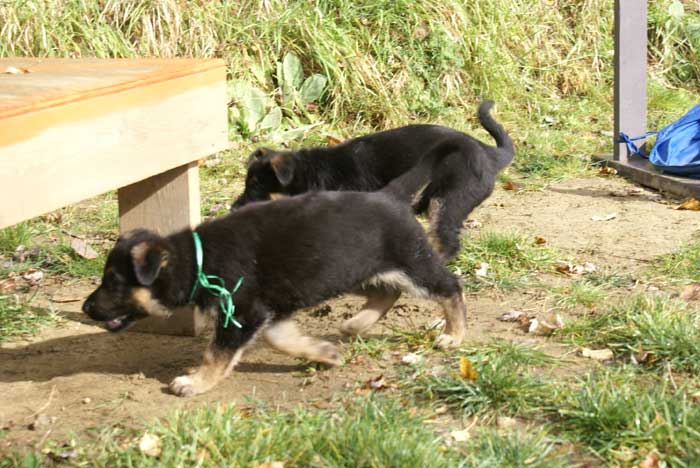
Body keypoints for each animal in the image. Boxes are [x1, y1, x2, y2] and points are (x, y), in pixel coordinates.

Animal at [83, 148, 470, 396]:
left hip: (411, 262)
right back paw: (356, 324)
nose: (86, 308)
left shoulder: (242, 313)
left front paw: (195, 382)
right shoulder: (266, 312)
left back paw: (454, 334)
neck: (195, 259)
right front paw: (323, 353)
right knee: (387, 291)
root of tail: (390, 196)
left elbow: (216, 353)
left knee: (450, 285)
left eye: (114, 282)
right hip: (349, 271)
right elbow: (279, 339)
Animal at [234, 101, 516, 262]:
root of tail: (488, 153)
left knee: (448, 236)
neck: (309, 172)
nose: (233, 208)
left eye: (256, 185)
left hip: (450, 198)